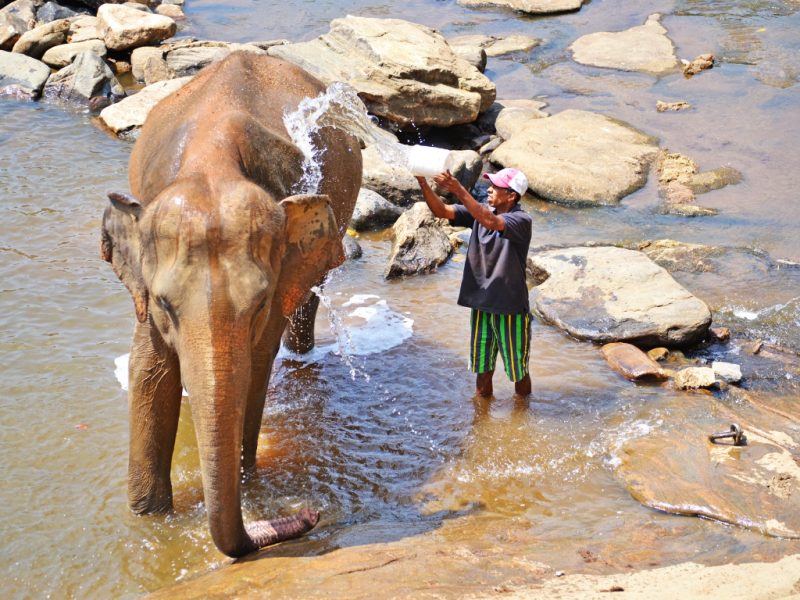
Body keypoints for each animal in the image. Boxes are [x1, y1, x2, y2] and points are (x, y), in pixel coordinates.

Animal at [101, 51, 362, 558]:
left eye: (258, 305)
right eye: (164, 305)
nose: (311, 513)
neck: (212, 163)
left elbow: (254, 369)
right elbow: (149, 370)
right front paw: (148, 517)